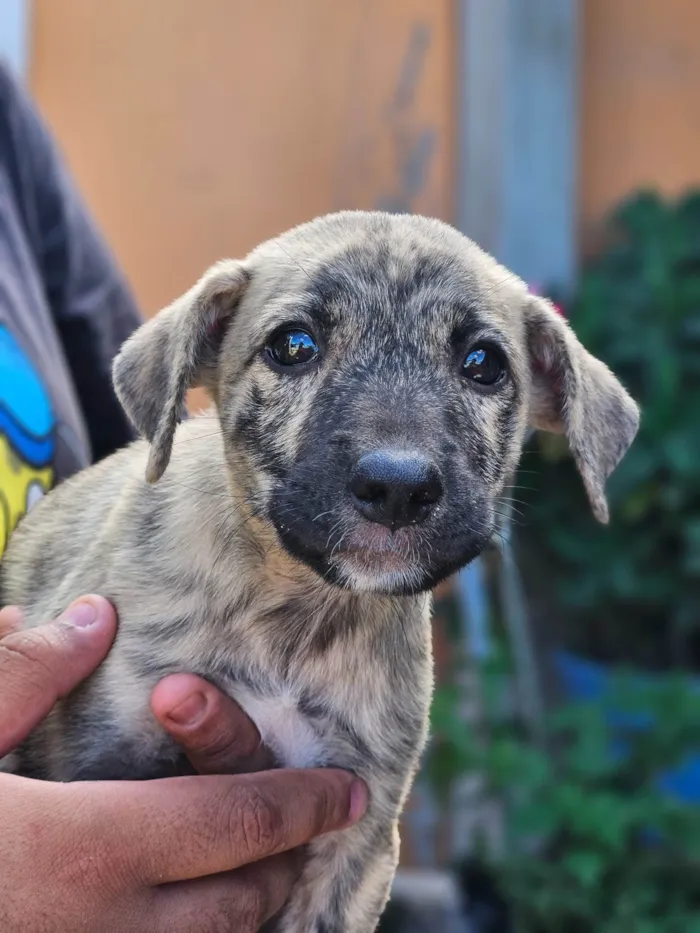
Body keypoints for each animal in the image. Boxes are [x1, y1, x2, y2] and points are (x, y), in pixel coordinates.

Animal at [0, 213, 640, 932]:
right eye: (293, 345)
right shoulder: (97, 761)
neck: (297, 615)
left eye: (483, 364)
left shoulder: (357, 834)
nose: (397, 487)